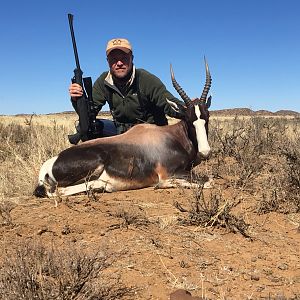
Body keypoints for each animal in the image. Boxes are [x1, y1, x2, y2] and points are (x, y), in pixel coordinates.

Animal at [34, 59, 212, 198]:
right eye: (188, 119)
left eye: (207, 116)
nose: (205, 152)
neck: (170, 136)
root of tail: (48, 166)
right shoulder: (169, 173)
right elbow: (207, 181)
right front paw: (161, 185)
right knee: (59, 191)